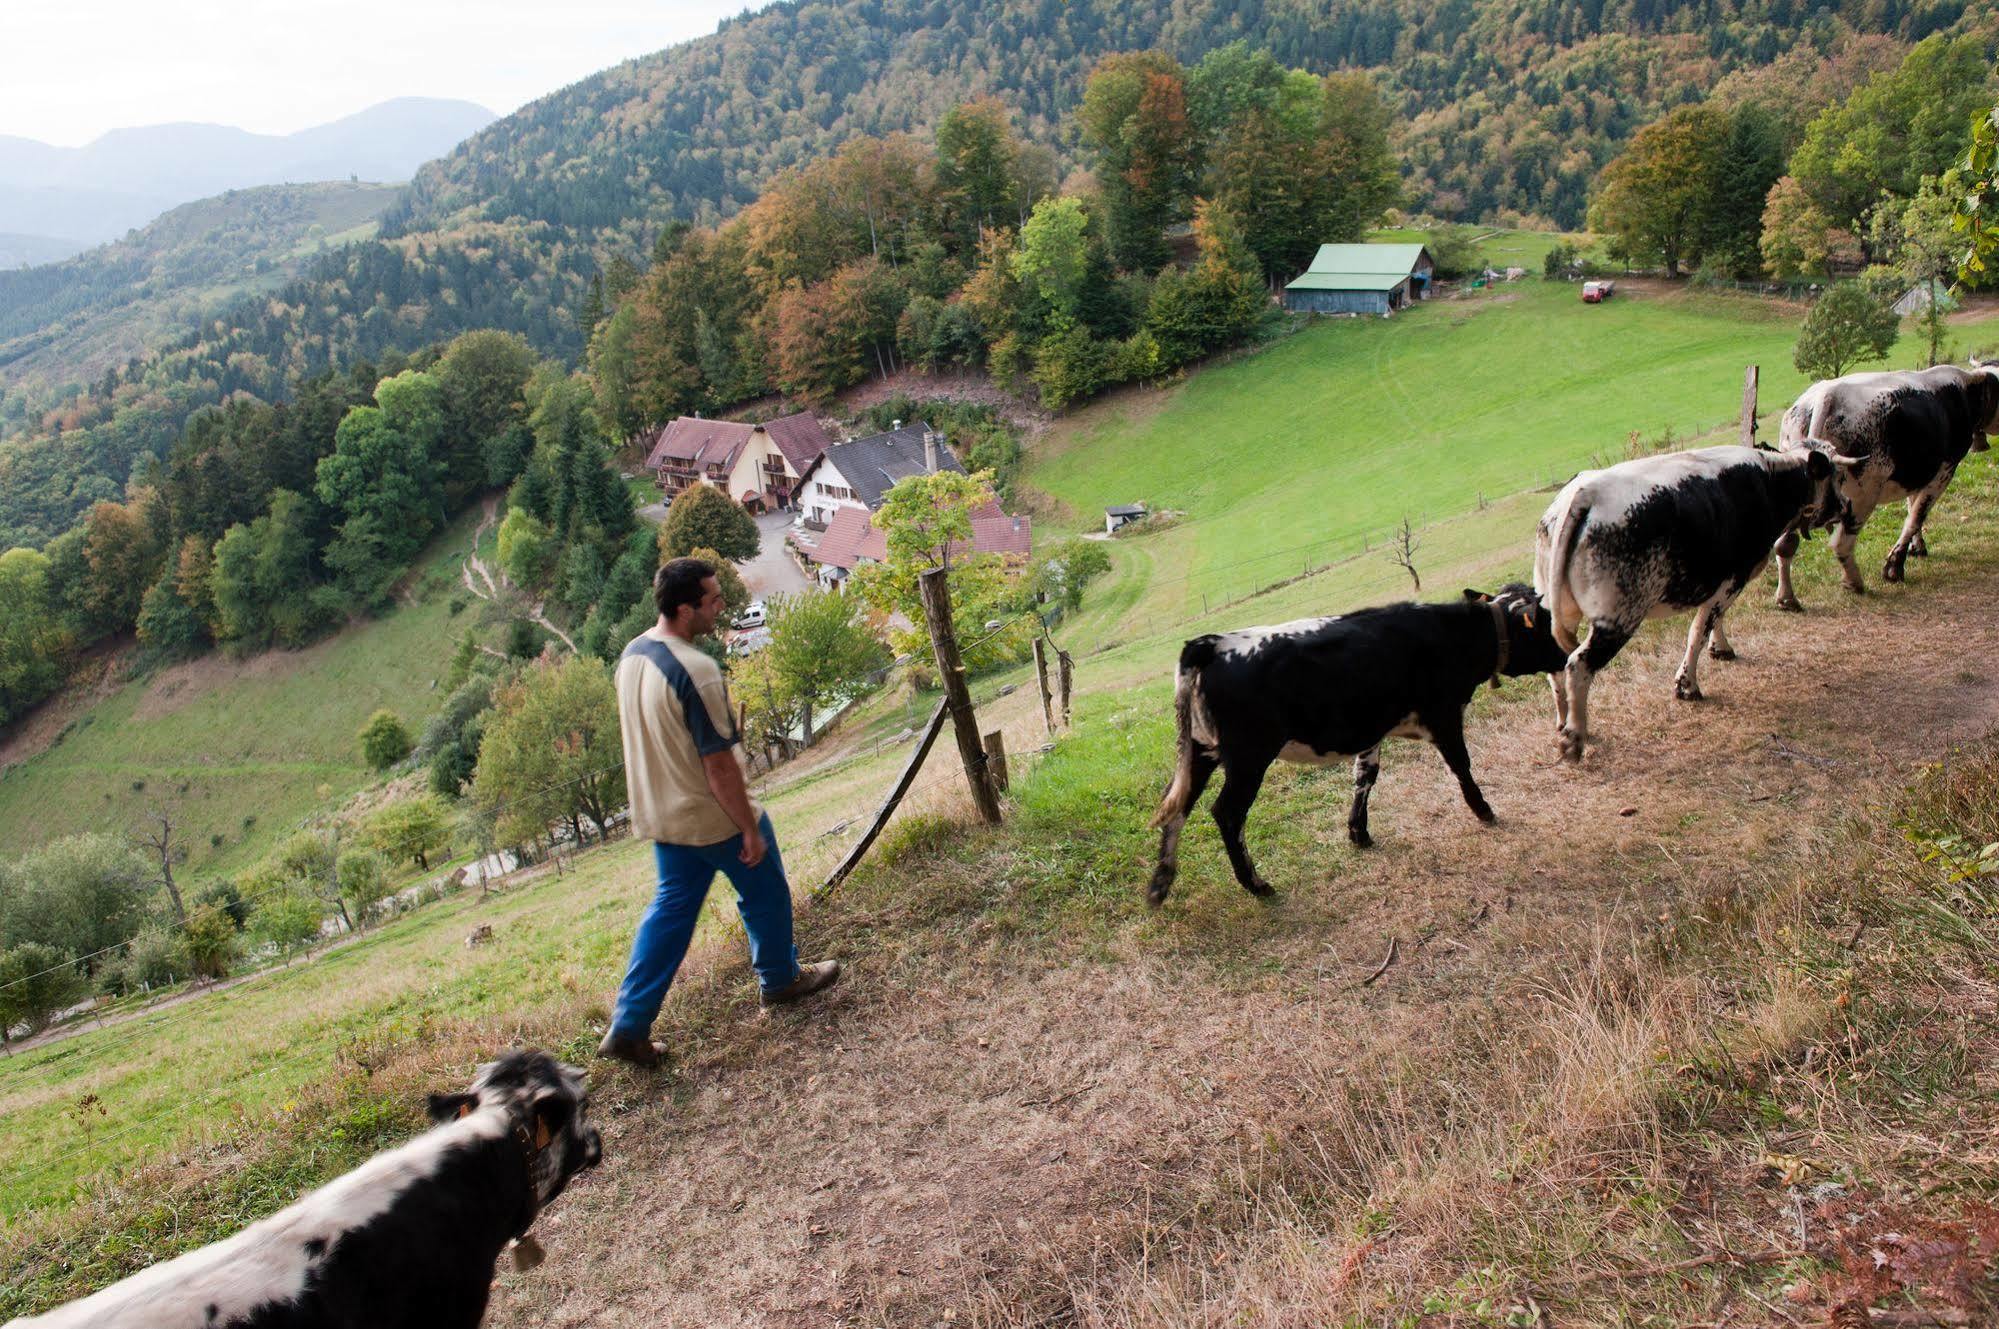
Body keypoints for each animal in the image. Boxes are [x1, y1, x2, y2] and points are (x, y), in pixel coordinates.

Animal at [1151, 587, 1567, 907]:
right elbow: (1461, 765)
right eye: (1543, 624)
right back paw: (1256, 885)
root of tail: (1212, 643)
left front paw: (1358, 833)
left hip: (1201, 751)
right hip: (1249, 758)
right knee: (1227, 814)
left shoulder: (1373, 731)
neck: (1451, 636)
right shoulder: (1444, 715)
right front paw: (1484, 811)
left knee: (1177, 808)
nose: (1567, 654)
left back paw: (1160, 883)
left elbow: (1365, 777)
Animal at [1535, 443, 1847, 763]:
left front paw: (1720, 649)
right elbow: (1699, 630)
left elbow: (1713, 620)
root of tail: (1584, 492)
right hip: (1618, 617)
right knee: (1578, 665)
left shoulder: (1722, 580)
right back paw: (1574, 738)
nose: (1844, 506)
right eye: (1839, 476)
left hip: (1555, 607)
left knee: (1556, 666)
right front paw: (1687, 685)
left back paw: (1563, 722)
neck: (1771, 480)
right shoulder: (1734, 576)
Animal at [1775, 357, 1991, 599]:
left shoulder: (1918, 474)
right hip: (1863, 495)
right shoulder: (1944, 471)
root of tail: (1827, 394)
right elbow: (1916, 516)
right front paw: (1894, 568)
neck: (1964, 389)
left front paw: (1917, 547)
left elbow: (1912, 507)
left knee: (1783, 545)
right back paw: (1854, 582)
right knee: (1841, 543)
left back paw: (1787, 597)